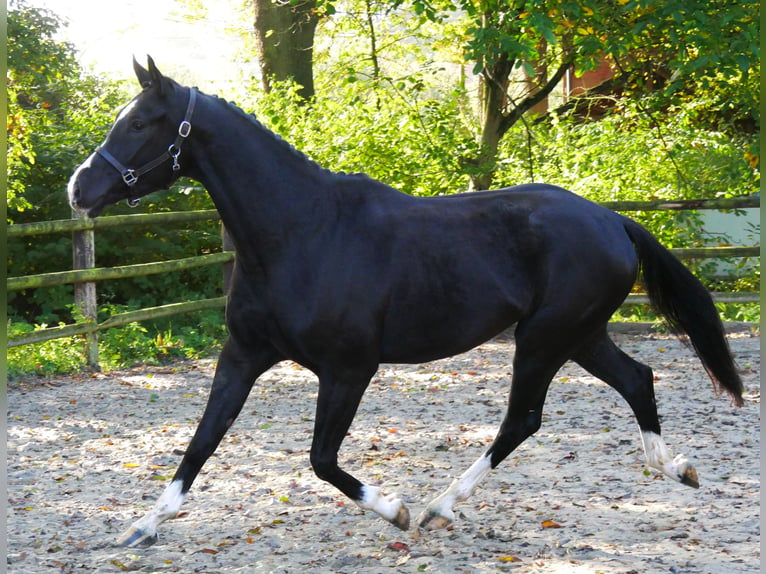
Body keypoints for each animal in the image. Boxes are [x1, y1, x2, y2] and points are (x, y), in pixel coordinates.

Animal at [67, 58, 744, 548]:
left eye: (138, 124)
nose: (79, 188)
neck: (302, 232)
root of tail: (611, 220)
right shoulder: (243, 355)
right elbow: (202, 440)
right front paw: (141, 528)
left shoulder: (348, 369)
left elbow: (321, 459)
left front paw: (394, 510)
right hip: (579, 335)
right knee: (637, 379)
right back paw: (677, 468)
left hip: (545, 339)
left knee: (523, 420)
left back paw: (438, 508)